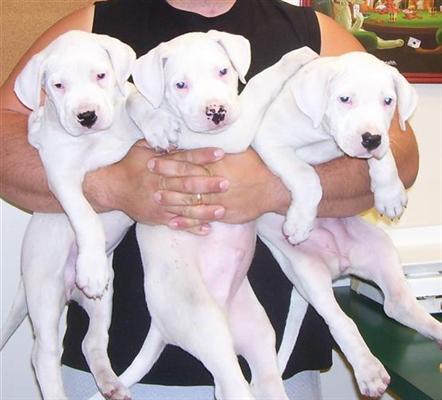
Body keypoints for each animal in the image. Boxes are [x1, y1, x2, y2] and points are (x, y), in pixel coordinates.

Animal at [0, 31, 142, 400]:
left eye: (101, 75)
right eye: (58, 86)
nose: (87, 116)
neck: (97, 139)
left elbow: (135, 99)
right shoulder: (61, 177)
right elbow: (85, 216)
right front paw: (89, 267)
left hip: (105, 299)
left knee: (92, 342)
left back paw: (110, 383)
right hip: (44, 293)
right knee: (44, 354)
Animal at [93, 33, 320, 400]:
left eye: (223, 71)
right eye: (180, 85)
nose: (217, 112)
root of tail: (159, 326)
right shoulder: (231, 134)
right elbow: (259, 81)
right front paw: (295, 58)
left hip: (256, 330)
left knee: (259, 376)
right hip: (204, 323)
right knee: (232, 383)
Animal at [252, 52, 442, 396]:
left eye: (388, 101)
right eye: (345, 99)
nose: (371, 139)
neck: (324, 136)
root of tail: (338, 264)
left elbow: (385, 157)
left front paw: (390, 193)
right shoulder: (269, 141)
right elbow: (306, 175)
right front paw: (301, 221)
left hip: (381, 249)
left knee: (397, 305)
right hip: (308, 274)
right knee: (339, 319)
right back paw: (368, 369)